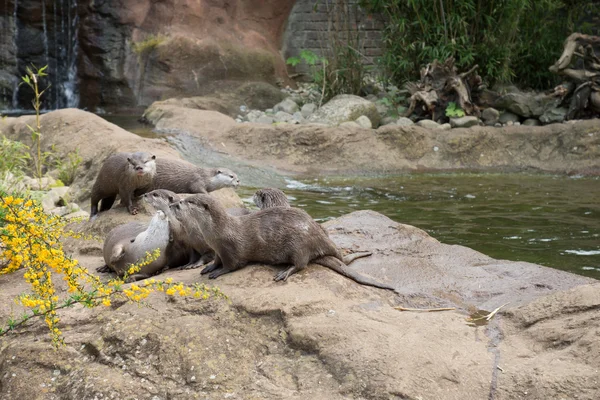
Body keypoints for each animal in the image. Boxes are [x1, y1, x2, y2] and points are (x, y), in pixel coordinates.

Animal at [171, 195, 396, 292]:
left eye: (187, 201)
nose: (175, 203)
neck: (218, 231)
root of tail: (318, 238)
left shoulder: (232, 250)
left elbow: (232, 265)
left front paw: (217, 272)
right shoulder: (218, 250)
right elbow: (216, 260)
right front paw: (208, 267)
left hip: (299, 244)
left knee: (301, 264)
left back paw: (285, 272)